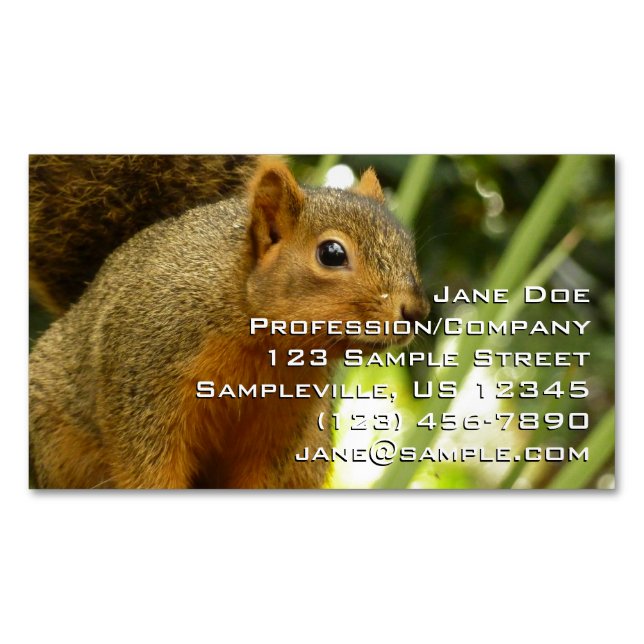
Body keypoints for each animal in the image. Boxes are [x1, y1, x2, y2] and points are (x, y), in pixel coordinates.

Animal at [29, 155, 430, 489]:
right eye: (331, 253)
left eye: (408, 247)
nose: (417, 312)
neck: (263, 344)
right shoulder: (145, 382)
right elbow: (148, 467)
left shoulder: (284, 425)